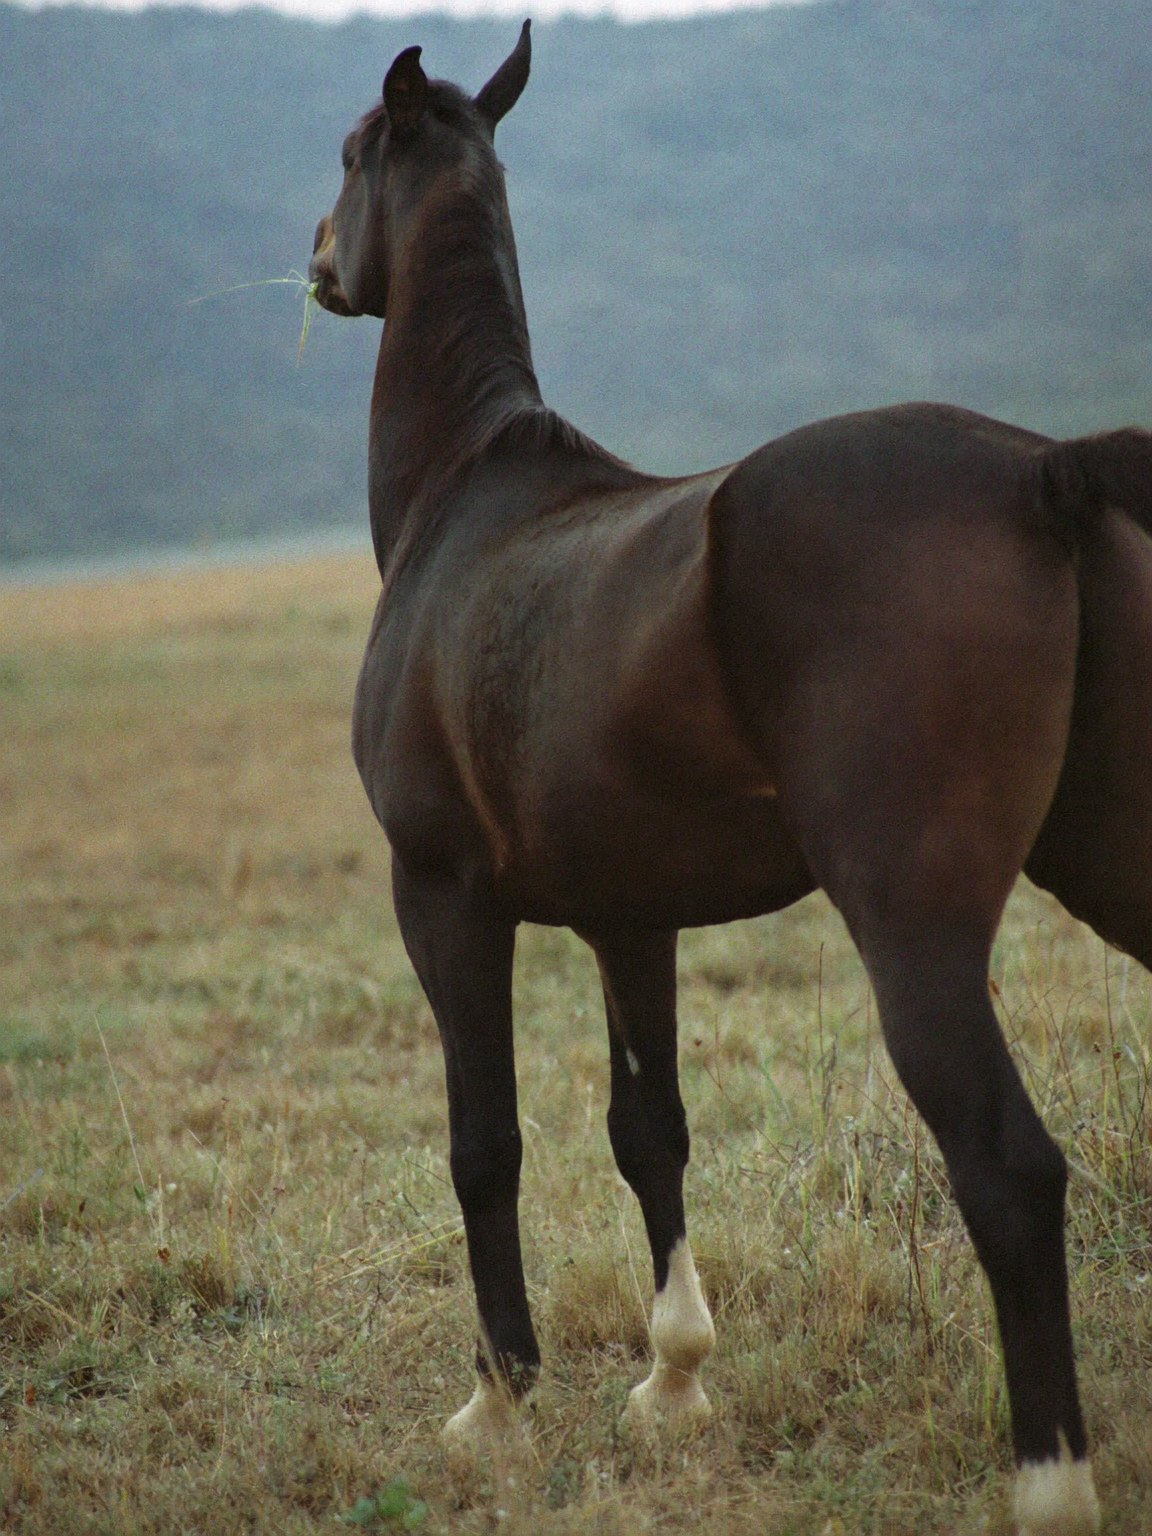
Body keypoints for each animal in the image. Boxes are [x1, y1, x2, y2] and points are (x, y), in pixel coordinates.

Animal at [308, 23, 1152, 1534]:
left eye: (352, 154)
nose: (318, 261)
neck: (469, 502)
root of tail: (1043, 470)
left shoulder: (443, 900)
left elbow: (484, 1142)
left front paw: (499, 1402)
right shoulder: (627, 918)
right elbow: (651, 1130)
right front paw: (675, 1376)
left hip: (916, 930)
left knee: (1008, 1172)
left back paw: (1050, 1480)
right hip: (1118, 856)